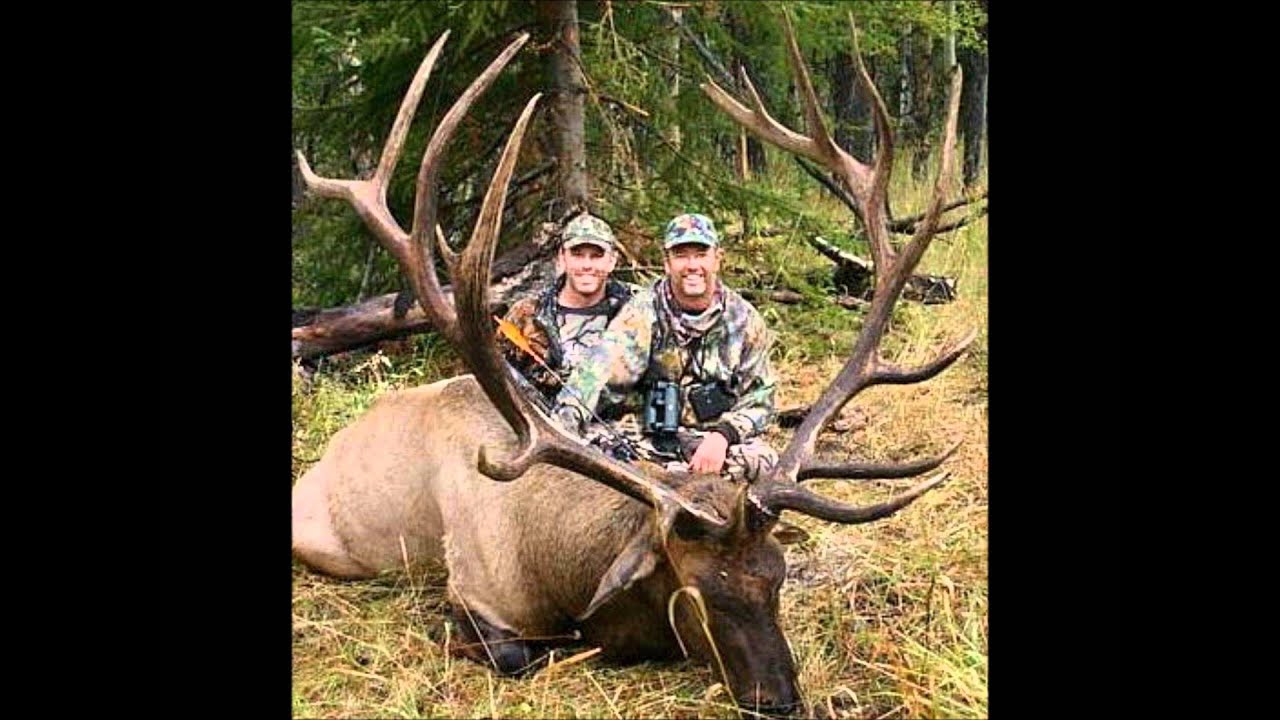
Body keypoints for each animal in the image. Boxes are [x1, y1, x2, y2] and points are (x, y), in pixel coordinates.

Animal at [290, 15, 967, 712]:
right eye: (699, 594)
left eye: (776, 578)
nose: (779, 697)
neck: (552, 566)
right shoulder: (476, 591)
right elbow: (517, 653)